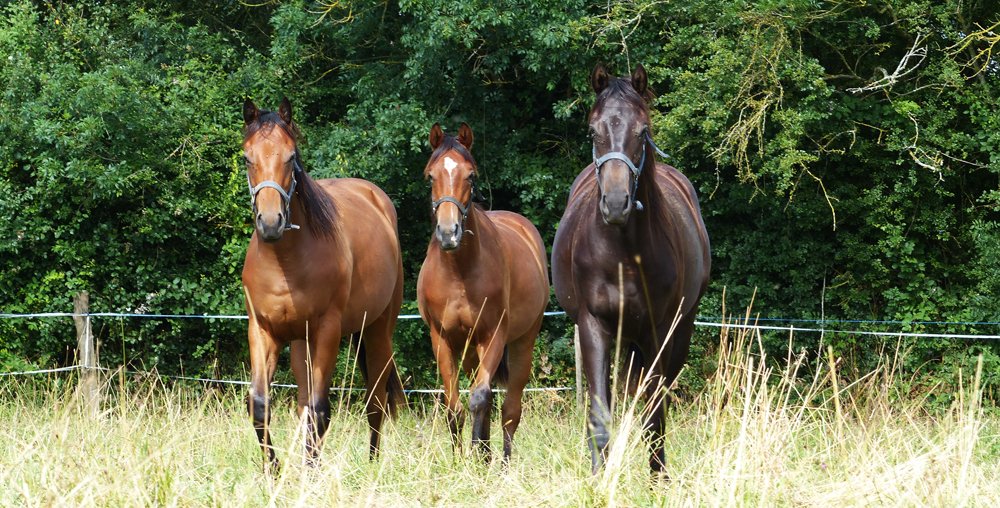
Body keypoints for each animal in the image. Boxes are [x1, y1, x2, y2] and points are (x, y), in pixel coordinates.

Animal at [240, 97, 405, 470]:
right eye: (247, 158)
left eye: (291, 157)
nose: (270, 222)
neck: (285, 263)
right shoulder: (262, 331)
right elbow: (260, 405)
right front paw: (273, 470)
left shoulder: (327, 331)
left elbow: (320, 410)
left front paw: (310, 472)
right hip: (301, 343)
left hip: (377, 330)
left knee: (375, 401)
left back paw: (372, 463)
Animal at [416, 123, 549, 462]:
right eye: (430, 176)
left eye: (471, 176)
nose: (448, 233)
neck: (459, 272)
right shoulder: (442, 338)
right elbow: (454, 407)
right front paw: (461, 461)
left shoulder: (493, 335)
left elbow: (479, 397)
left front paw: (477, 454)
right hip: (470, 351)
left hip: (521, 343)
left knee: (509, 410)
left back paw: (501, 462)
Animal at [551, 64, 711, 474]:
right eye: (593, 131)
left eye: (643, 130)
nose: (617, 203)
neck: (622, 253)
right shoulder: (593, 325)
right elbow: (599, 415)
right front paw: (598, 476)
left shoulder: (658, 330)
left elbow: (654, 414)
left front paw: (658, 478)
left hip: (677, 332)